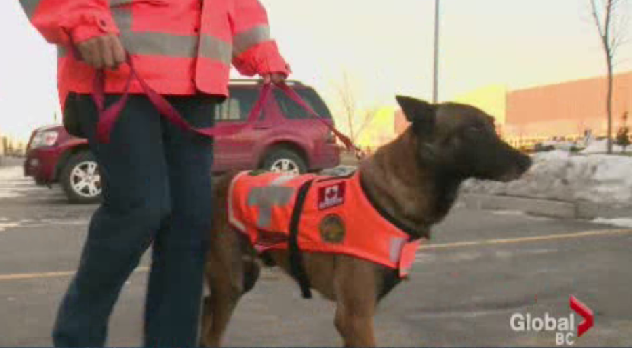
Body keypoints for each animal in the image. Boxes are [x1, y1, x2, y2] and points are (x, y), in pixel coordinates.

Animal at [199, 96, 532, 348]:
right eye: (473, 130)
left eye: (491, 125)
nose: (527, 161)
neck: (389, 195)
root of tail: (216, 183)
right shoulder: (355, 317)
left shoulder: (357, 316)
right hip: (231, 283)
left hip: (242, 277)